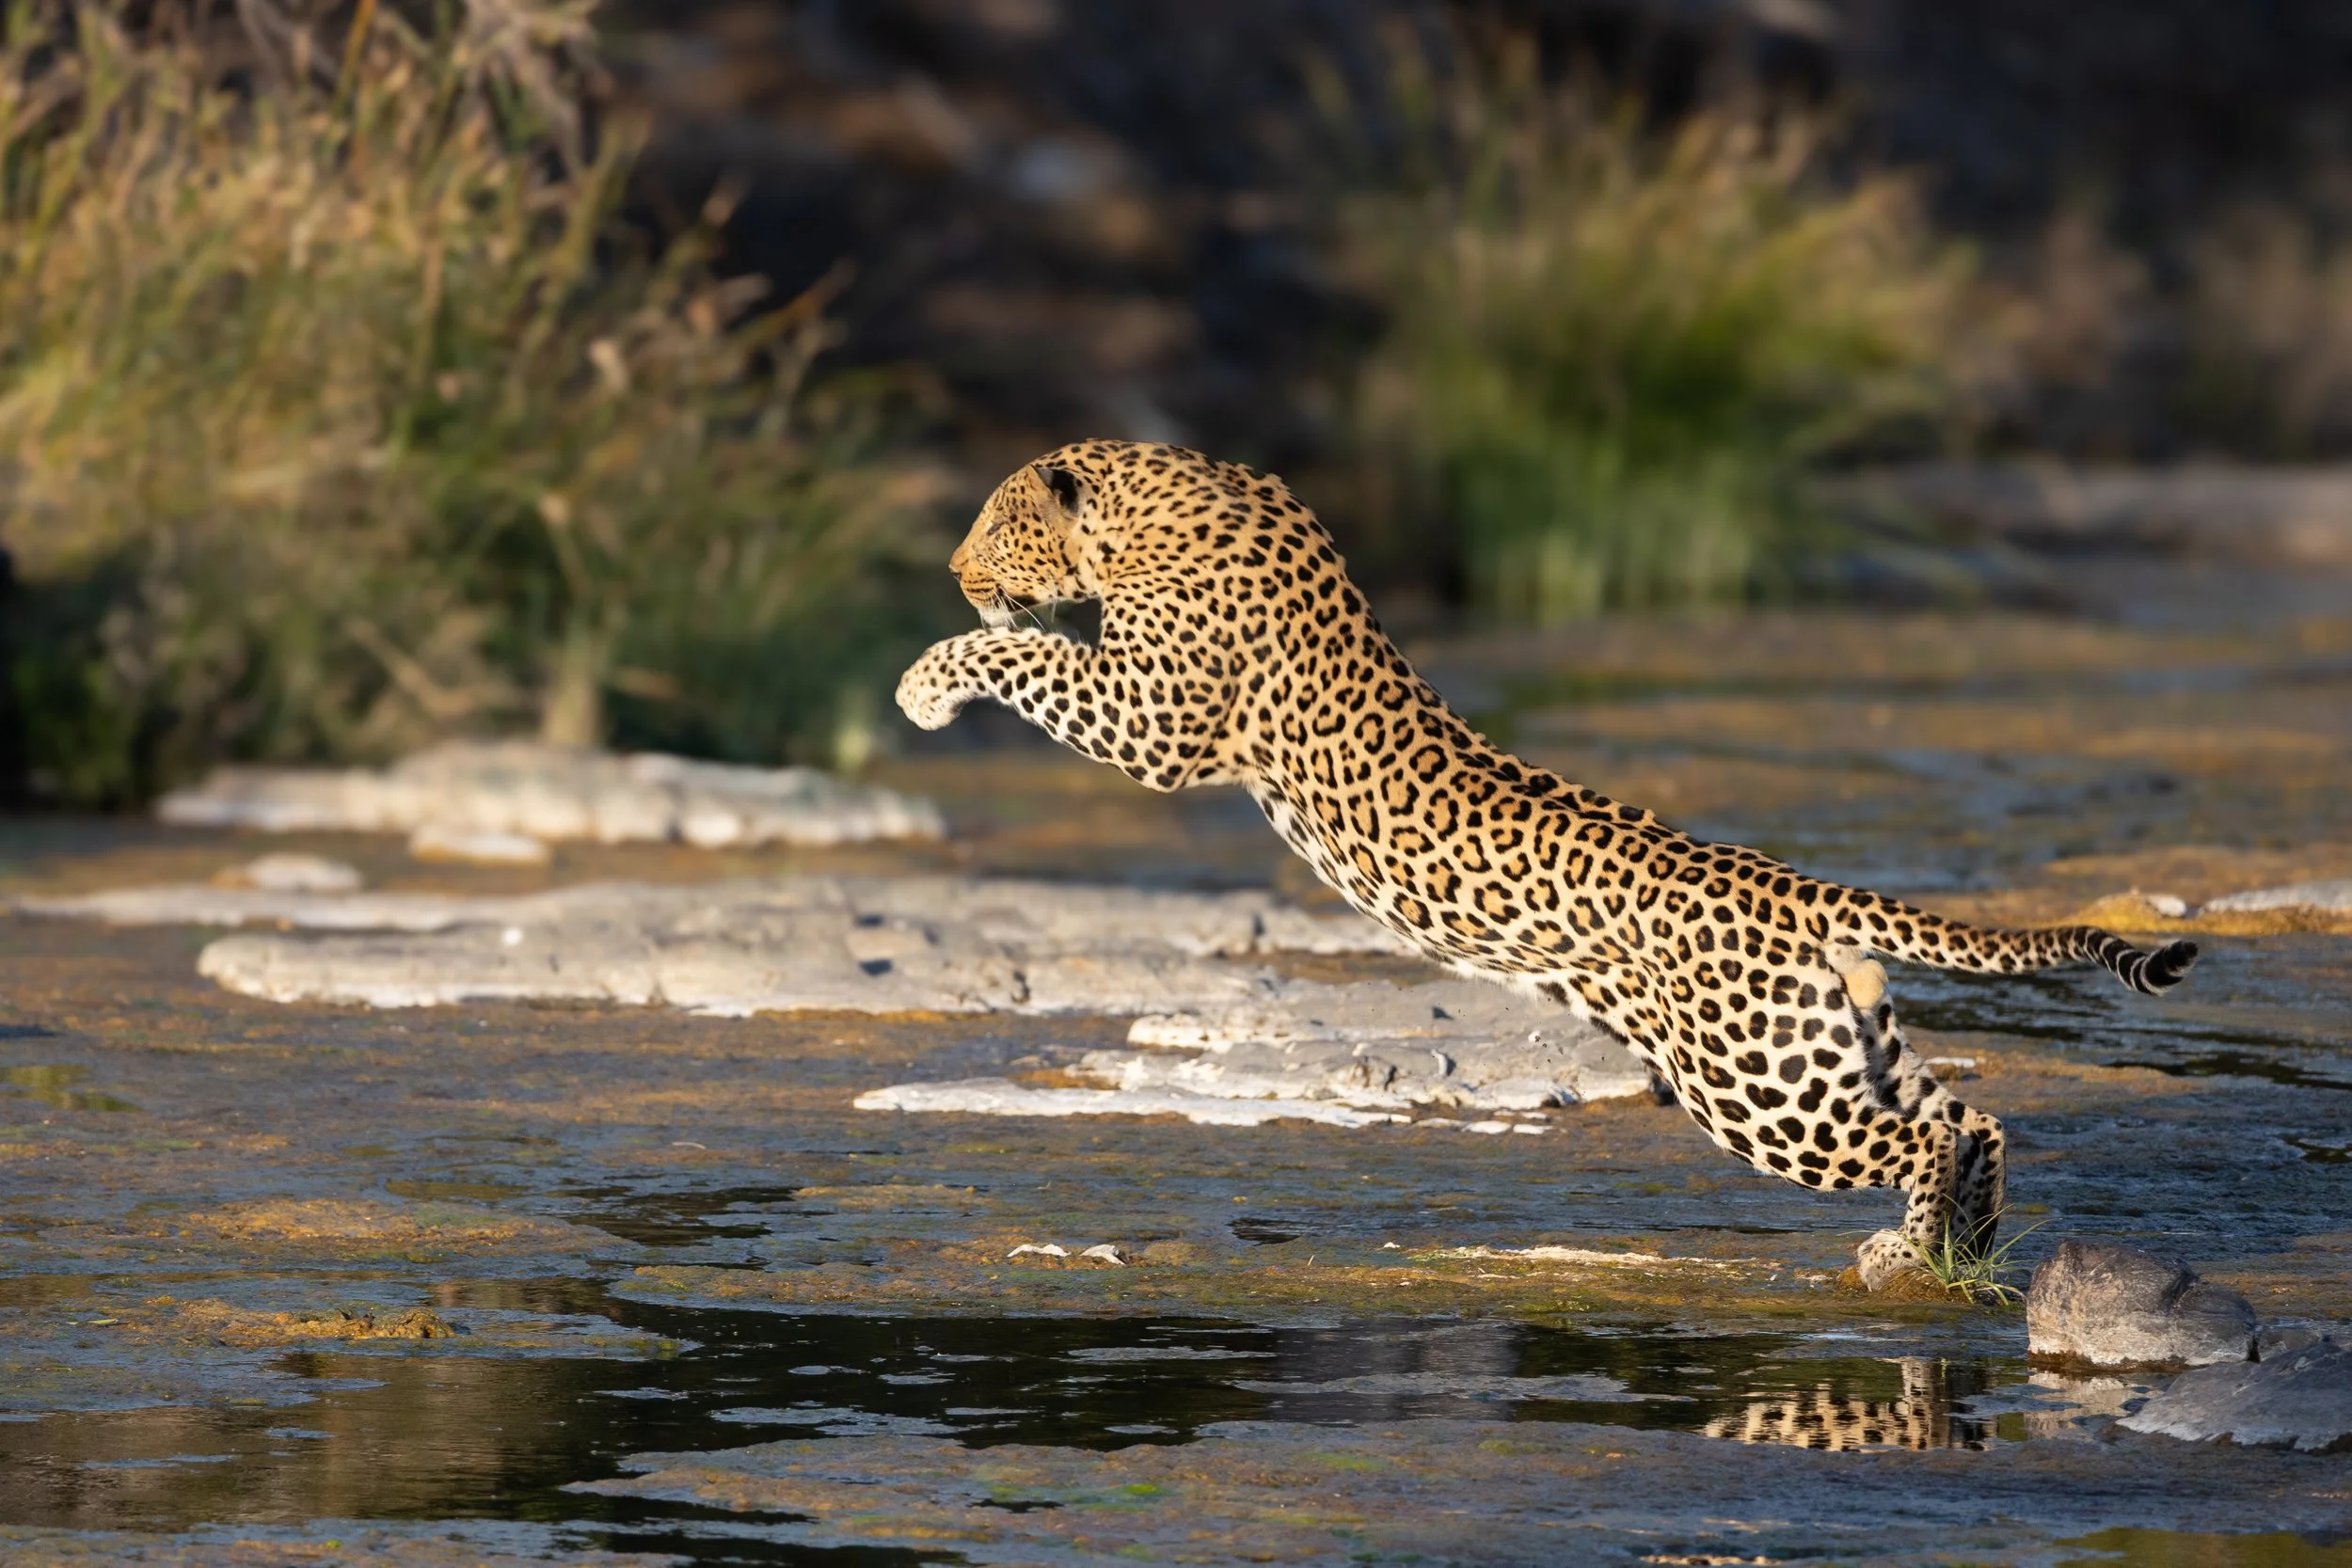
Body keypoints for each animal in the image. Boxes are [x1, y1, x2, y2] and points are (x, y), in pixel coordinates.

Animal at [895, 439, 2198, 1291]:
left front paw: (923, 679)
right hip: (1827, 1049)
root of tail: (1793, 887)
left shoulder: (1152, 718)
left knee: (1925, 1136)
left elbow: (1023, 661)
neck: (1162, 496)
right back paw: (1954, 1256)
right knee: (1973, 1115)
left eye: (992, 525)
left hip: (1753, 1083)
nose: (953, 569)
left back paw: (1908, 1251)